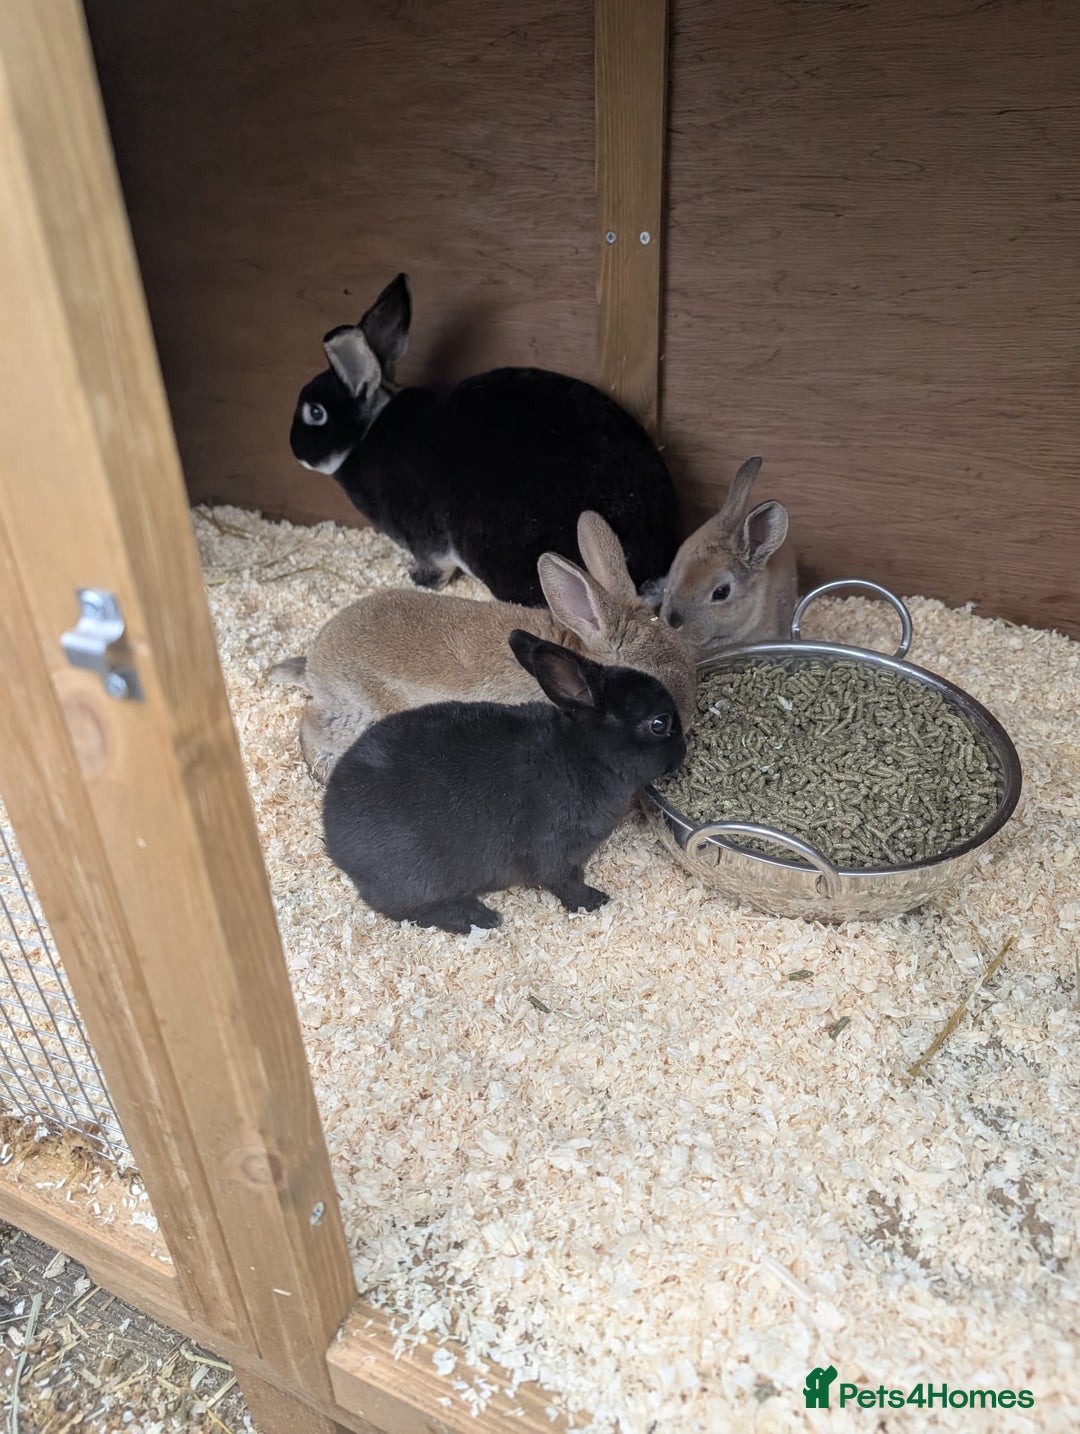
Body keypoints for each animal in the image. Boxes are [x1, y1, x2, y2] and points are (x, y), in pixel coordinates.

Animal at [289, 273, 679, 606]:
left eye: (315, 413)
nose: (293, 447)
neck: (366, 433)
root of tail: (644, 572)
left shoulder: (424, 541)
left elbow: (436, 567)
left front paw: (417, 579)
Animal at [321, 630, 686, 934]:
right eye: (660, 724)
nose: (683, 753)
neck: (586, 754)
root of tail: (335, 839)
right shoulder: (557, 853)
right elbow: (567, 884)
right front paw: (594, 901)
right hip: (418, 877)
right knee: (406, 910)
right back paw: (478, 918)